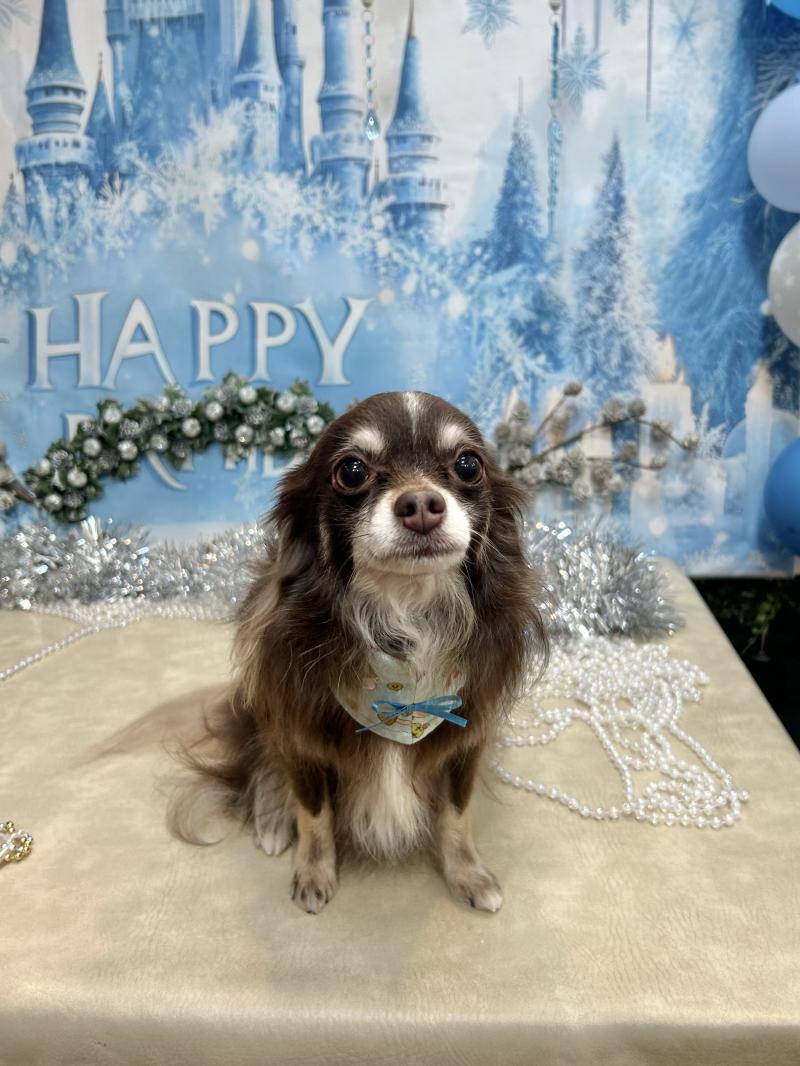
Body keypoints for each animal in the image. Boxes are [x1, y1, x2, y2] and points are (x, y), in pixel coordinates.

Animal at [170, 391, 546, 913]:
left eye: (468, 465)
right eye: (351, 471)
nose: (421, 503)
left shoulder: (466, 740)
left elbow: (457, 812)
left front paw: (468, 874)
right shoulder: (301, 736)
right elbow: (314, 813)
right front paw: (313, 872)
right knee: (263, 760)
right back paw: (272, 817)